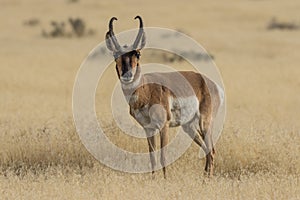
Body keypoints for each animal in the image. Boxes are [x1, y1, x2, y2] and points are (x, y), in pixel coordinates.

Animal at [104, 16, 224, 178]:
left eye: (138, 54)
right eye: (115, 55)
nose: (127, 75)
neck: (146, 88)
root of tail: (210, 83)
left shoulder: (164, 126)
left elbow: (163, 157)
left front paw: (165, 180)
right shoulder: (148, 129)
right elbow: (153, 157)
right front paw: (153, 179)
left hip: (205, 123)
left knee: (211, 150)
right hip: (189, 126)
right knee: (207, 150)